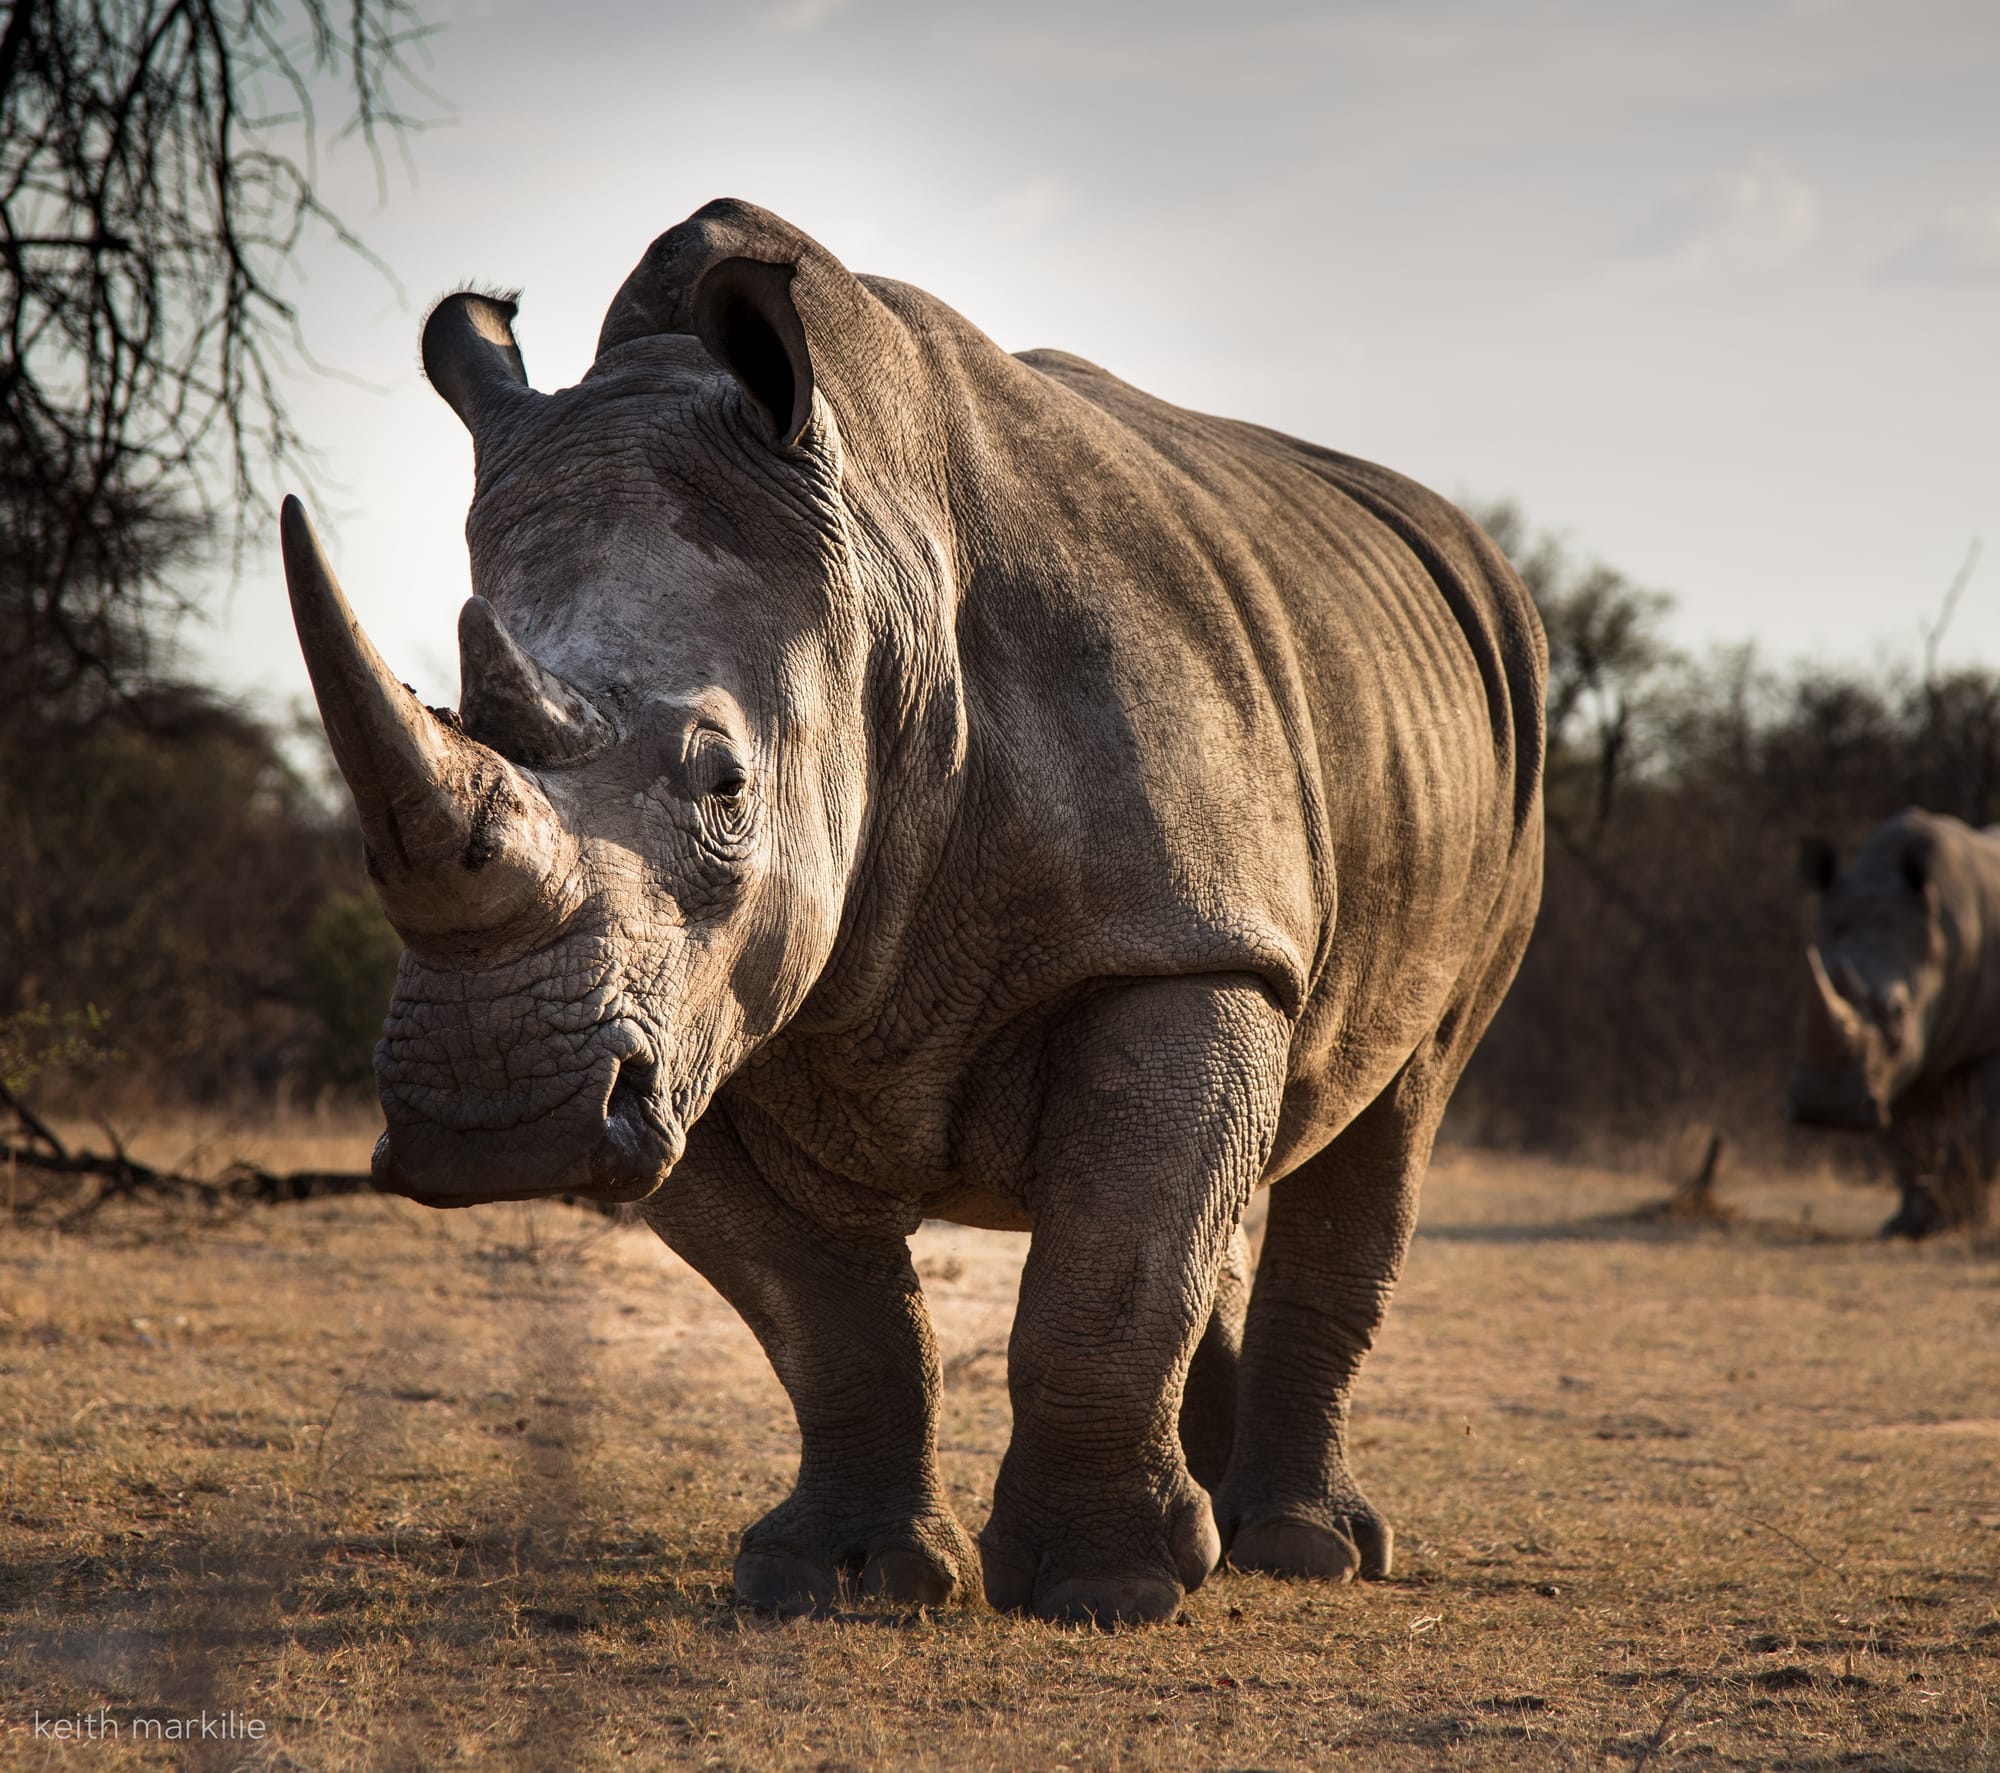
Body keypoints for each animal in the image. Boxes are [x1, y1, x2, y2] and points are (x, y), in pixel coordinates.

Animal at [283, 198, 1545, 1624]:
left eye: (725, 784)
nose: (493, 1121)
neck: (877, 591)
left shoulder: (1177, 944)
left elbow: (1107, 1280)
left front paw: (1104, 1590)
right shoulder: (687, 1030)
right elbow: (835, 1323)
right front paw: (837, 1578)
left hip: (1500, 742)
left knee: (1397, 1102)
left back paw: (1297, 1547)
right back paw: (1228, 1517)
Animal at [1793, 808, 2000, 1236]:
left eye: (1898, 1010)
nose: (1825, 1105)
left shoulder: (1988, 1039)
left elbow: (1982, 1125)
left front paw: (1949, 1223)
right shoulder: (1891, 1067)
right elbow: (1906, 1137)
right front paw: (1909, 1223)